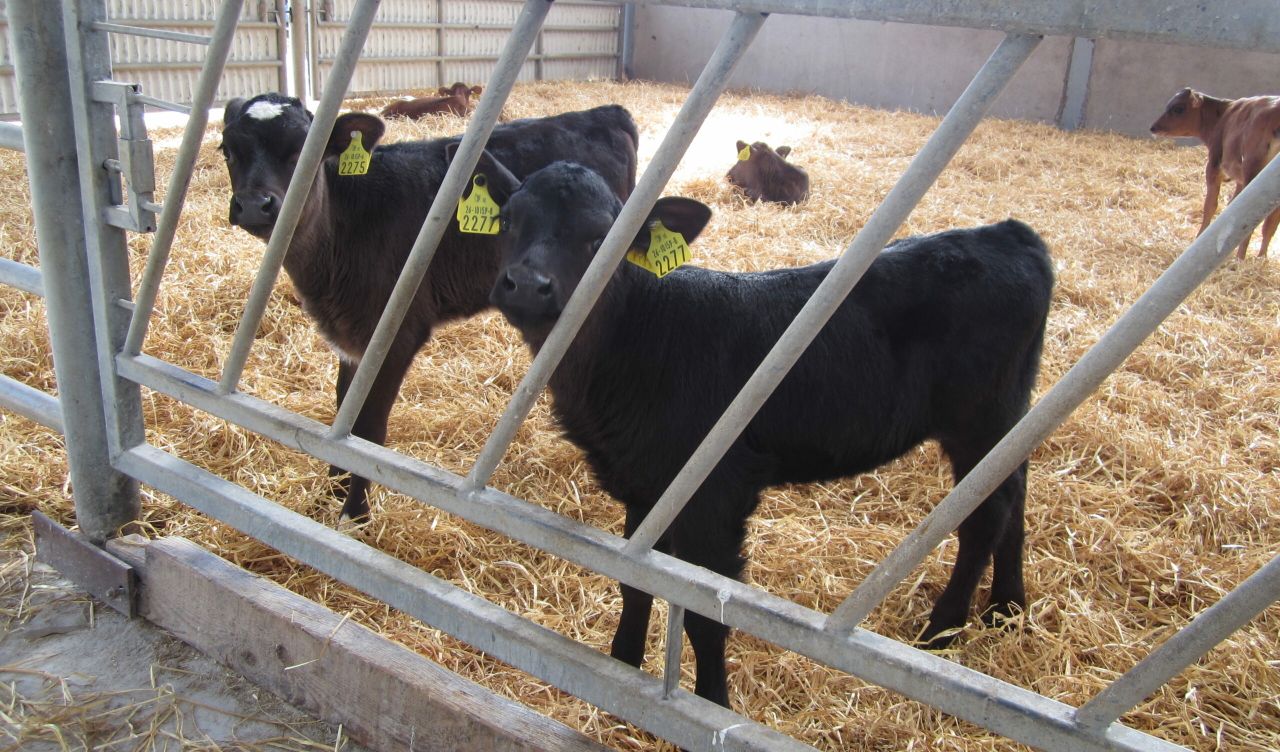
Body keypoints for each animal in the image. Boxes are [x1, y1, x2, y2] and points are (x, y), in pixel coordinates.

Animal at [220, 93, 638, 522]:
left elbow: (368, 428)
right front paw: (331, 491)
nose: (254, 205)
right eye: (227, 150)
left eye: (305, 149)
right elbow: (343, 411)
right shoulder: (351, 336)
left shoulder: (396, 334)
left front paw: (356, 513)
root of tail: (604, 111)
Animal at [467, 154, 1054, 708]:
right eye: (507, 219)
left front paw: (711, 702)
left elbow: (704, 614)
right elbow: (633, 581)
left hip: (979, 418)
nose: (527, 286)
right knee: (1015, 498)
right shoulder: (645, 484)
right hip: (1007, 418)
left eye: (601, 237)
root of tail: (1006, 232)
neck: (640, 336)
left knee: (986, 519)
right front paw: (622, 665)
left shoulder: (715, 492)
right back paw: (1006, 608)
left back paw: (943, 630)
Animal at [1150, 87, 1280, 260]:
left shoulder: (1213, 167)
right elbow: (1233, 206)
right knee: (1270, 223)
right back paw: (1261, 258)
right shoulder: (1240, 181)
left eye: (1178, 109)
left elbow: (1210, 206)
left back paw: (1240, 259)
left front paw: (1199, 238)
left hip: (1252, 169)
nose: (1153, 127)